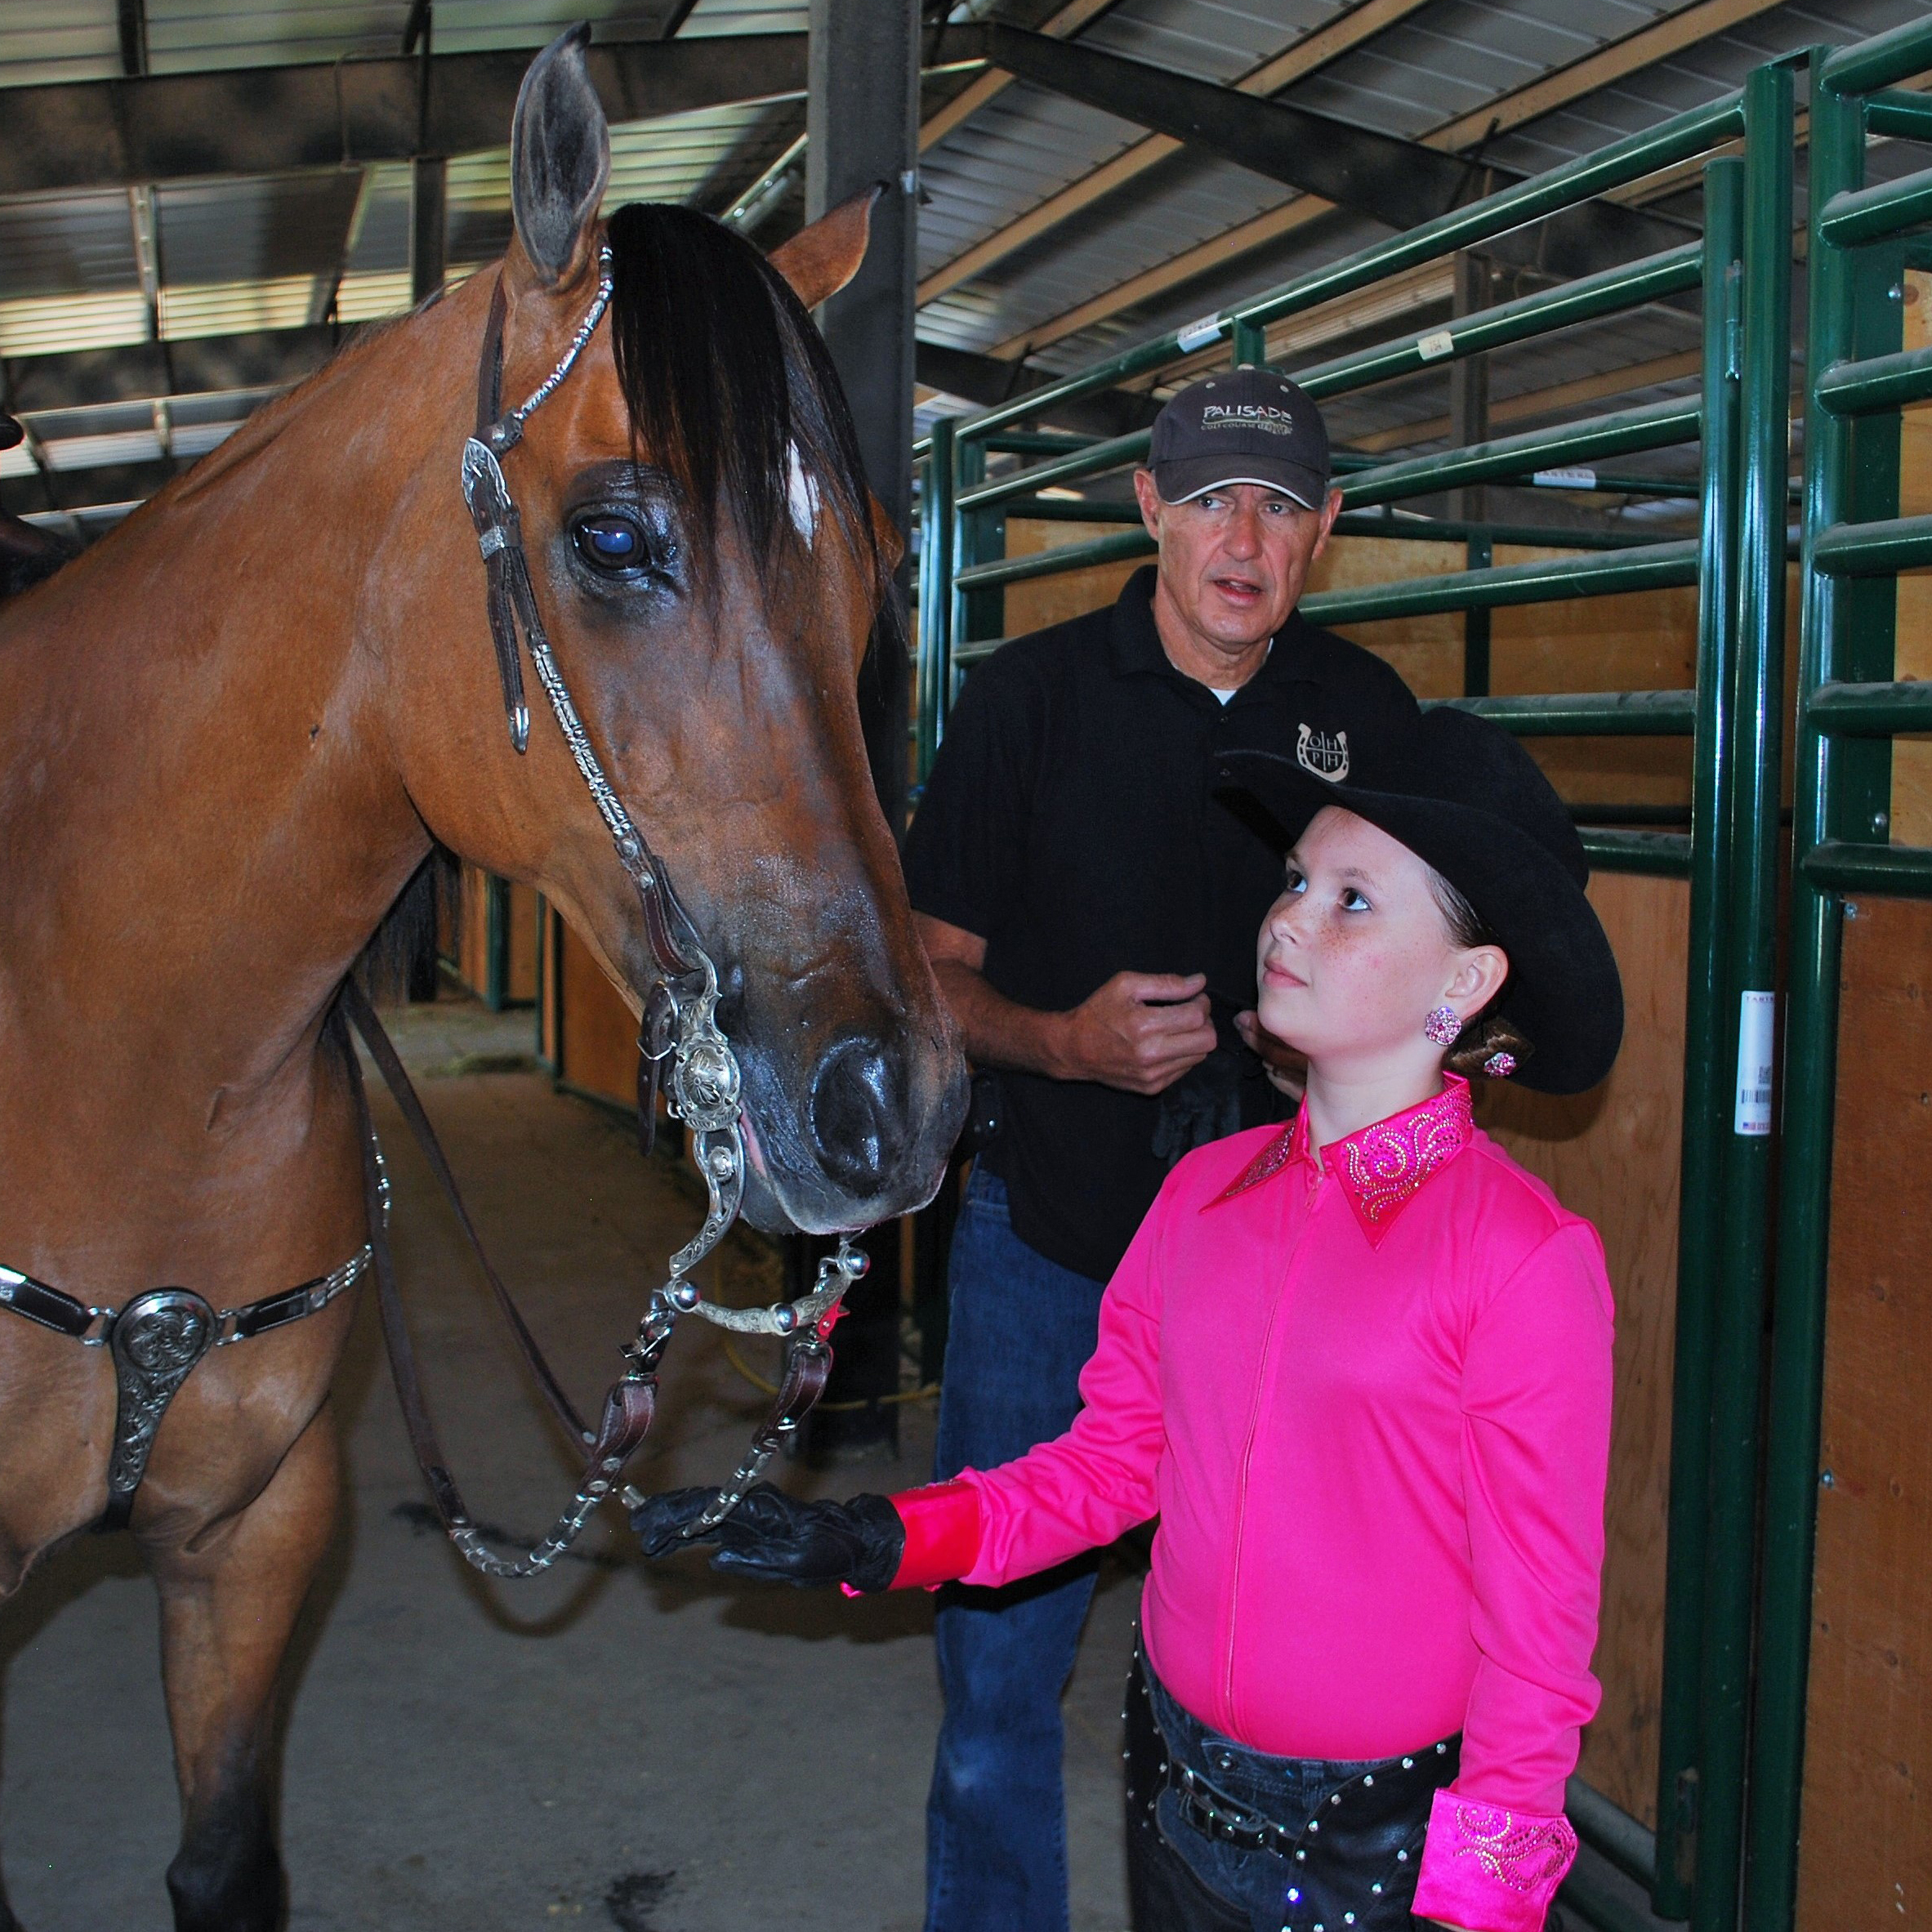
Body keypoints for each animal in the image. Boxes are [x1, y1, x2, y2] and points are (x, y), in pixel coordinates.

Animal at [0, 28, 965, 1931]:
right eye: (614, 542)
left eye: (882, 572)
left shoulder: (254, 1538)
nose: (895, 1105)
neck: (110, 1046)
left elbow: (224, 1859)